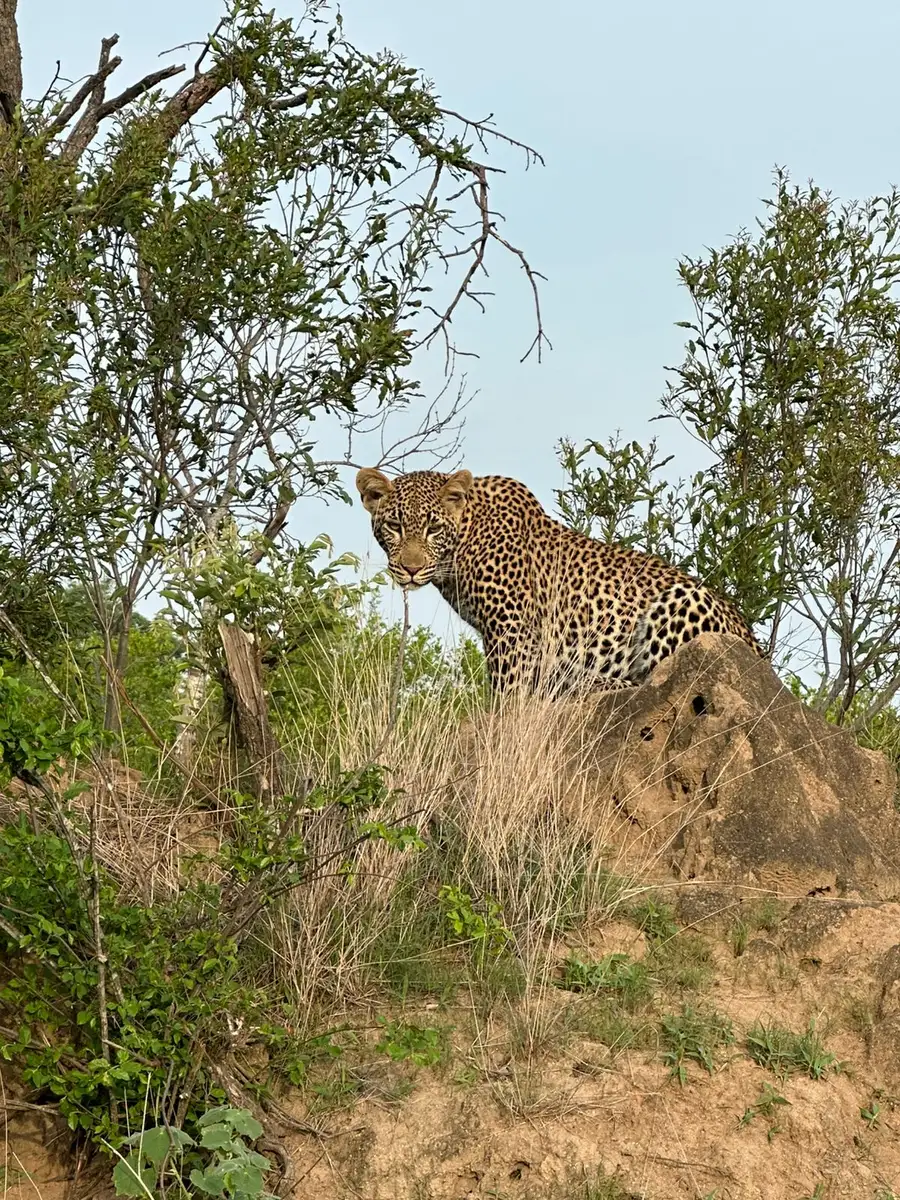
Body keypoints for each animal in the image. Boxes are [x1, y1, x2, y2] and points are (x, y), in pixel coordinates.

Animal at [355, 465, 763, 696]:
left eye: (433, 528)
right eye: (394, 526)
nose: (409, 569)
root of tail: (759, 654)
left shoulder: (512, 630)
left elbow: (509, 696)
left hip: (682, 600)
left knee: (656, 679)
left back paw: (587, 683)